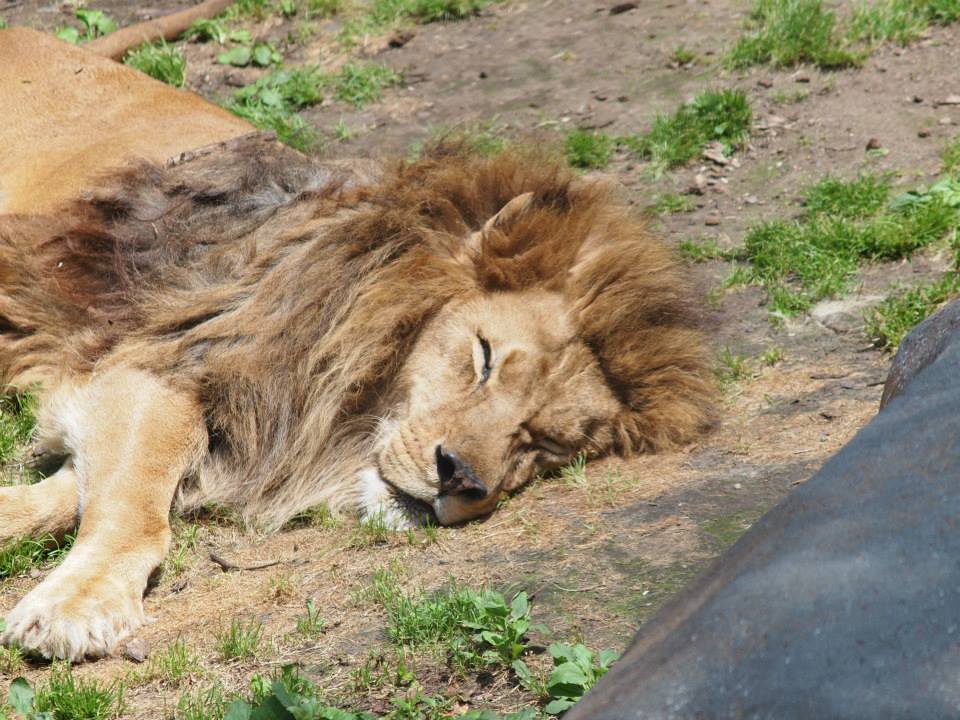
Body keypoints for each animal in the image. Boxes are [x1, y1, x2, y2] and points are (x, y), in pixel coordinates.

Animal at [0, 28, 712, 660]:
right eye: (482, 358)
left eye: (545, 443)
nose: (461, 477)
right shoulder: (163, 359)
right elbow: (133, 504)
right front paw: (78, 606)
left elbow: (82, 491)